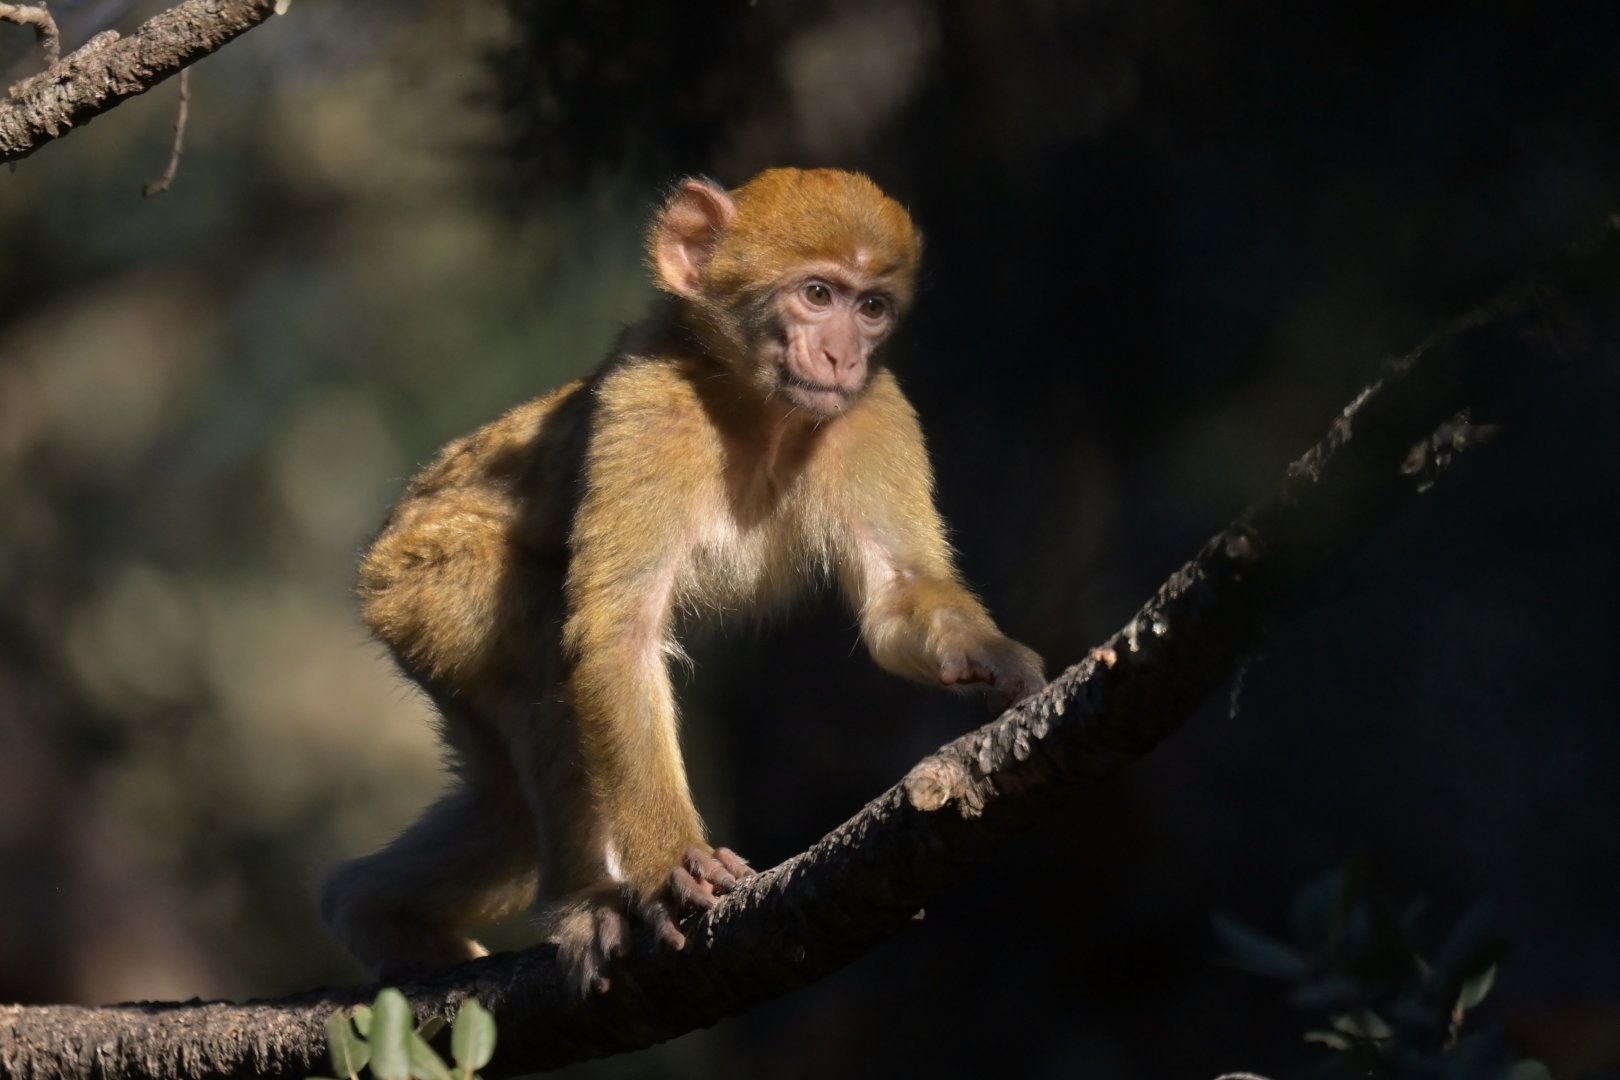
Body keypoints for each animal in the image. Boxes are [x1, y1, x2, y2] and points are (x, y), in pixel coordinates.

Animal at [319, 168, 1046, 994]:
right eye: (817, 294)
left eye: (871, 307)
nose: (842, 357)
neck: (759, 408)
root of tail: (380, 556)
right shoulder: (651, 410)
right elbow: (618, 635)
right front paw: (669, 863)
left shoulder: (875, 413)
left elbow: (897, 602)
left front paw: (995, 661)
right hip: (423, 587)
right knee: (542, 651)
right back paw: (583, 902)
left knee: (504, 815)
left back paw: (365, 909)